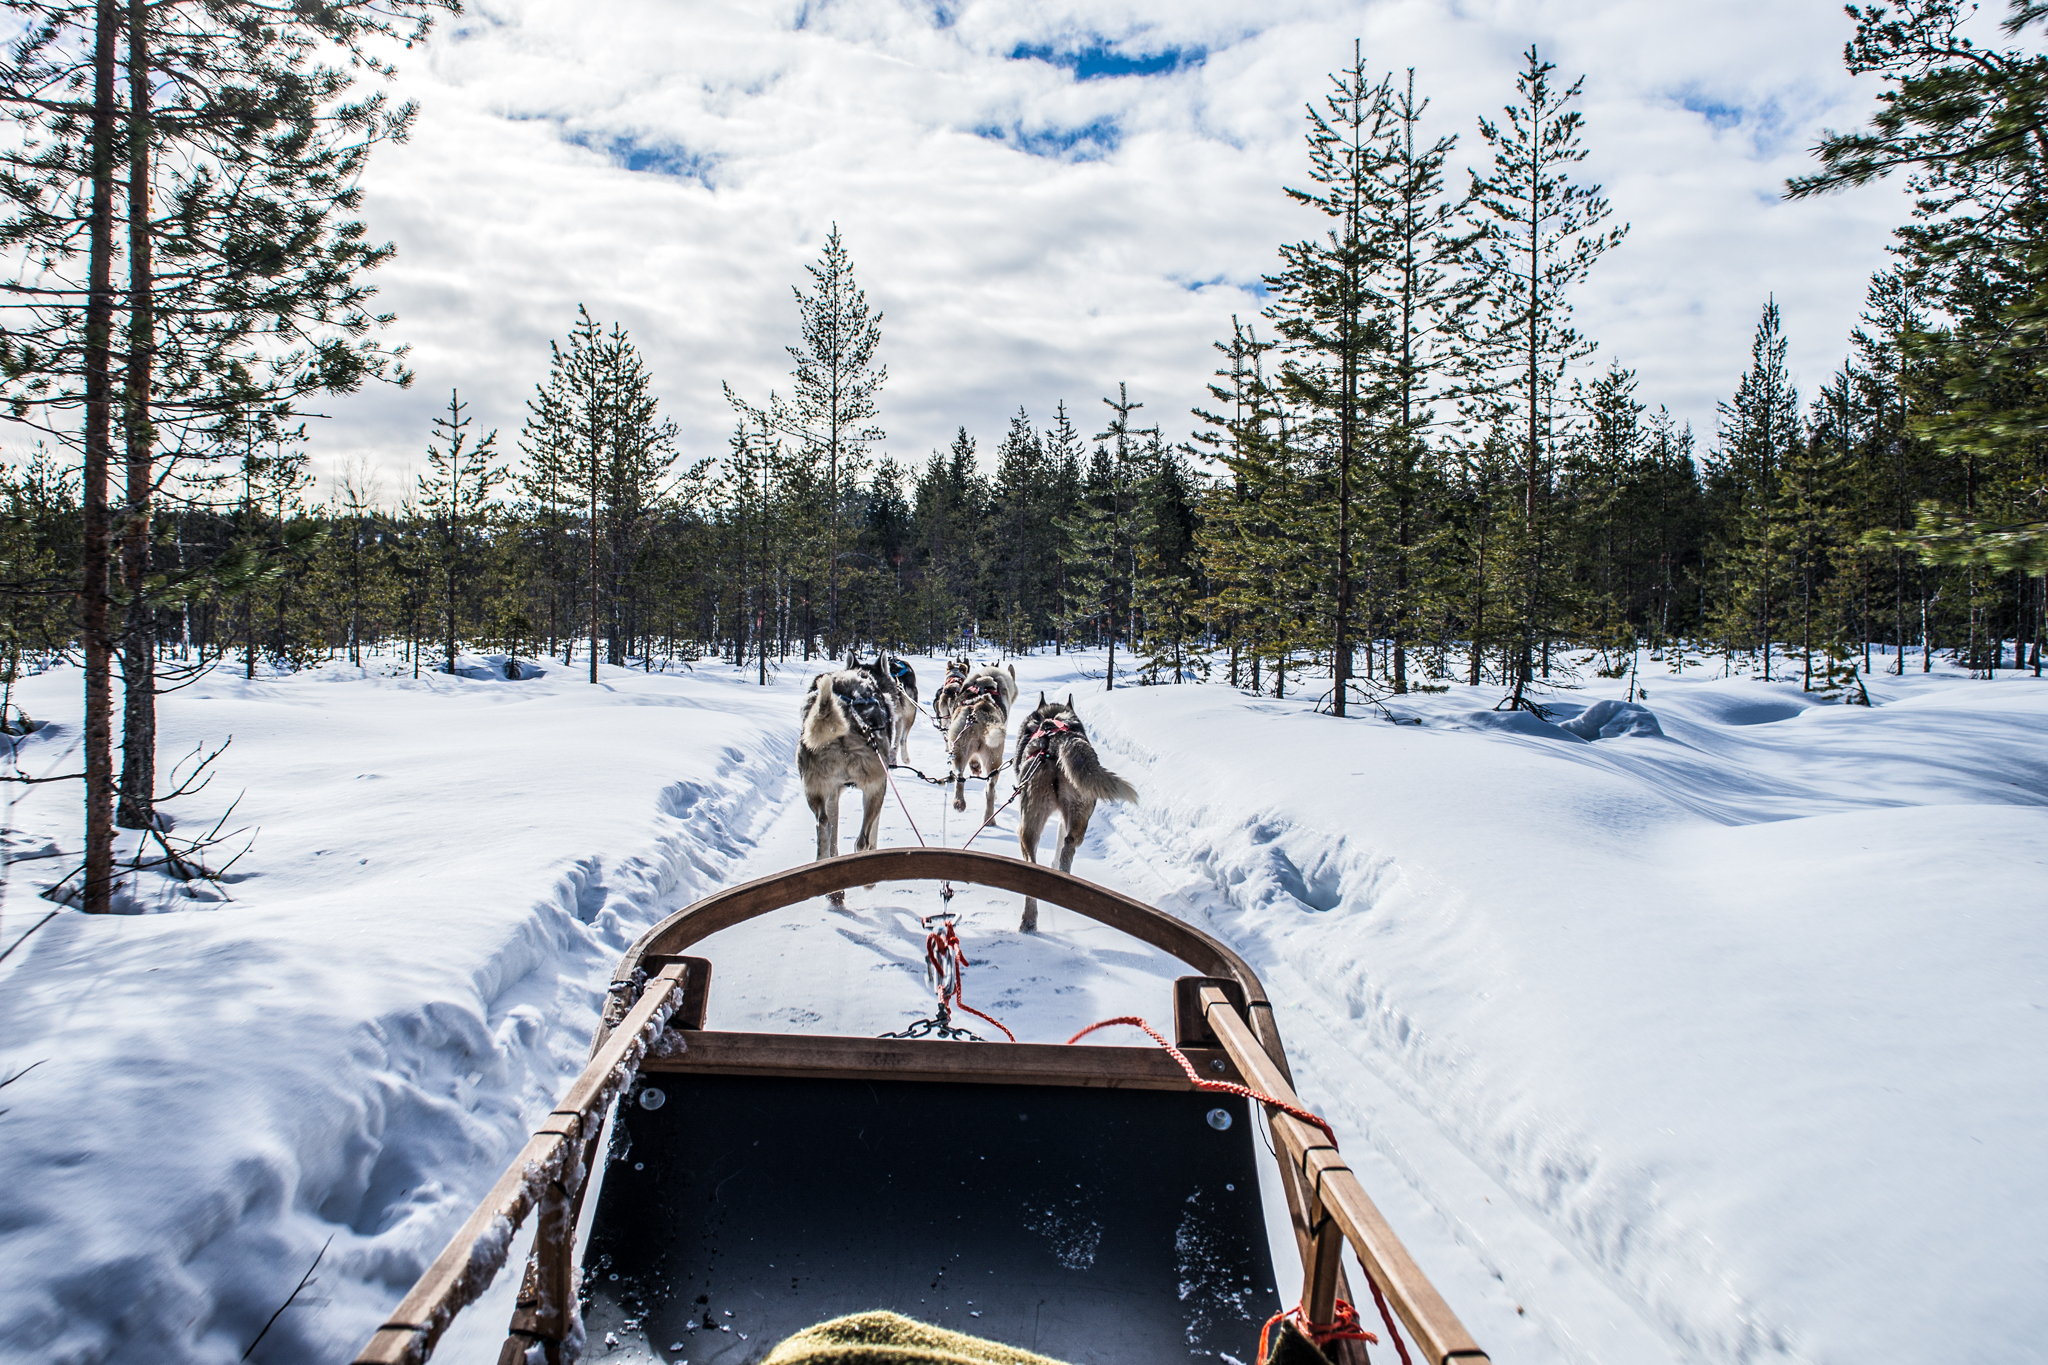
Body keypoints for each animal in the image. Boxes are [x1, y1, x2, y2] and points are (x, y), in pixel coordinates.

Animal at [946, 663, 1019, 822]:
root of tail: (979, 707)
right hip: (994, 759)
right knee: (990, 788)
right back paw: (989, 818)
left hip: (959, 750)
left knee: (960, 776)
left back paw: (960, 803)